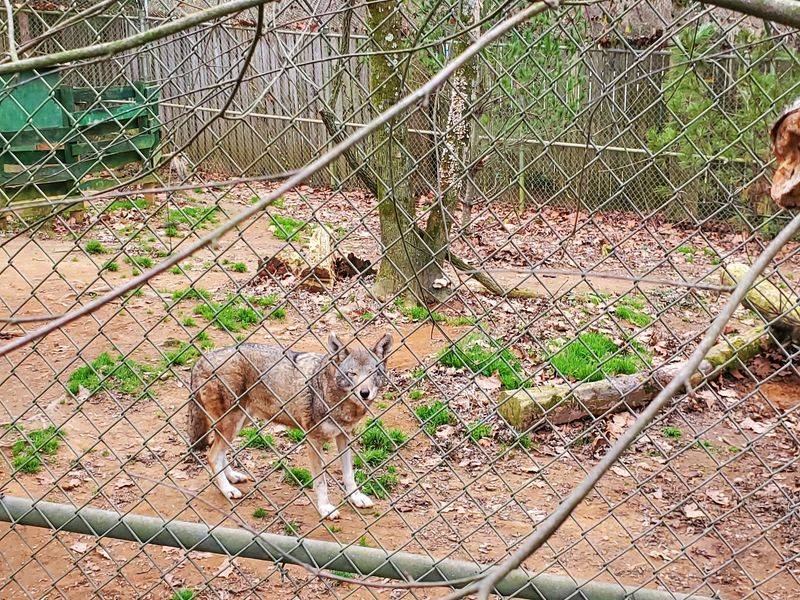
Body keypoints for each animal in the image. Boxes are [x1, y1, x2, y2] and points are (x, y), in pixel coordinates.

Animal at [187, 332, 393, 520]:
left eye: (373, 373)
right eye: (352, 373)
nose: (364, 393)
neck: (332, 395)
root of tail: (201, 360)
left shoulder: (345, 436)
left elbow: (349, 474)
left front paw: (356, 498)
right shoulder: (313, 440)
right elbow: (321, 482)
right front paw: (325, 508)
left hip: (238, 422)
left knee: (220, 453)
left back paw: (232, 478)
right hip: (233, 423)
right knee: (212, 456)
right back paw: (227, 489)